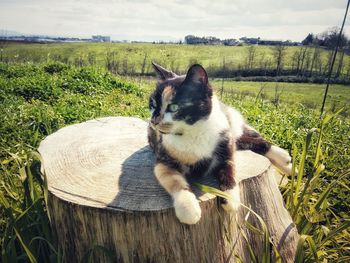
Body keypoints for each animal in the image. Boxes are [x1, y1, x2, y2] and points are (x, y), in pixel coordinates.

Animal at [148, 63, 292, 226]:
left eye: (173, 107)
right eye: (152, 104)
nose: (153, 121)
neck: (193, 133)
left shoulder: (225, 151)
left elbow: (230, 171)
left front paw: (231, 199)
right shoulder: (163, 161)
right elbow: (175, 182)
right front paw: (189, 209)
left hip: (230, 130)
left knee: (250, 139)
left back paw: (285, 160)